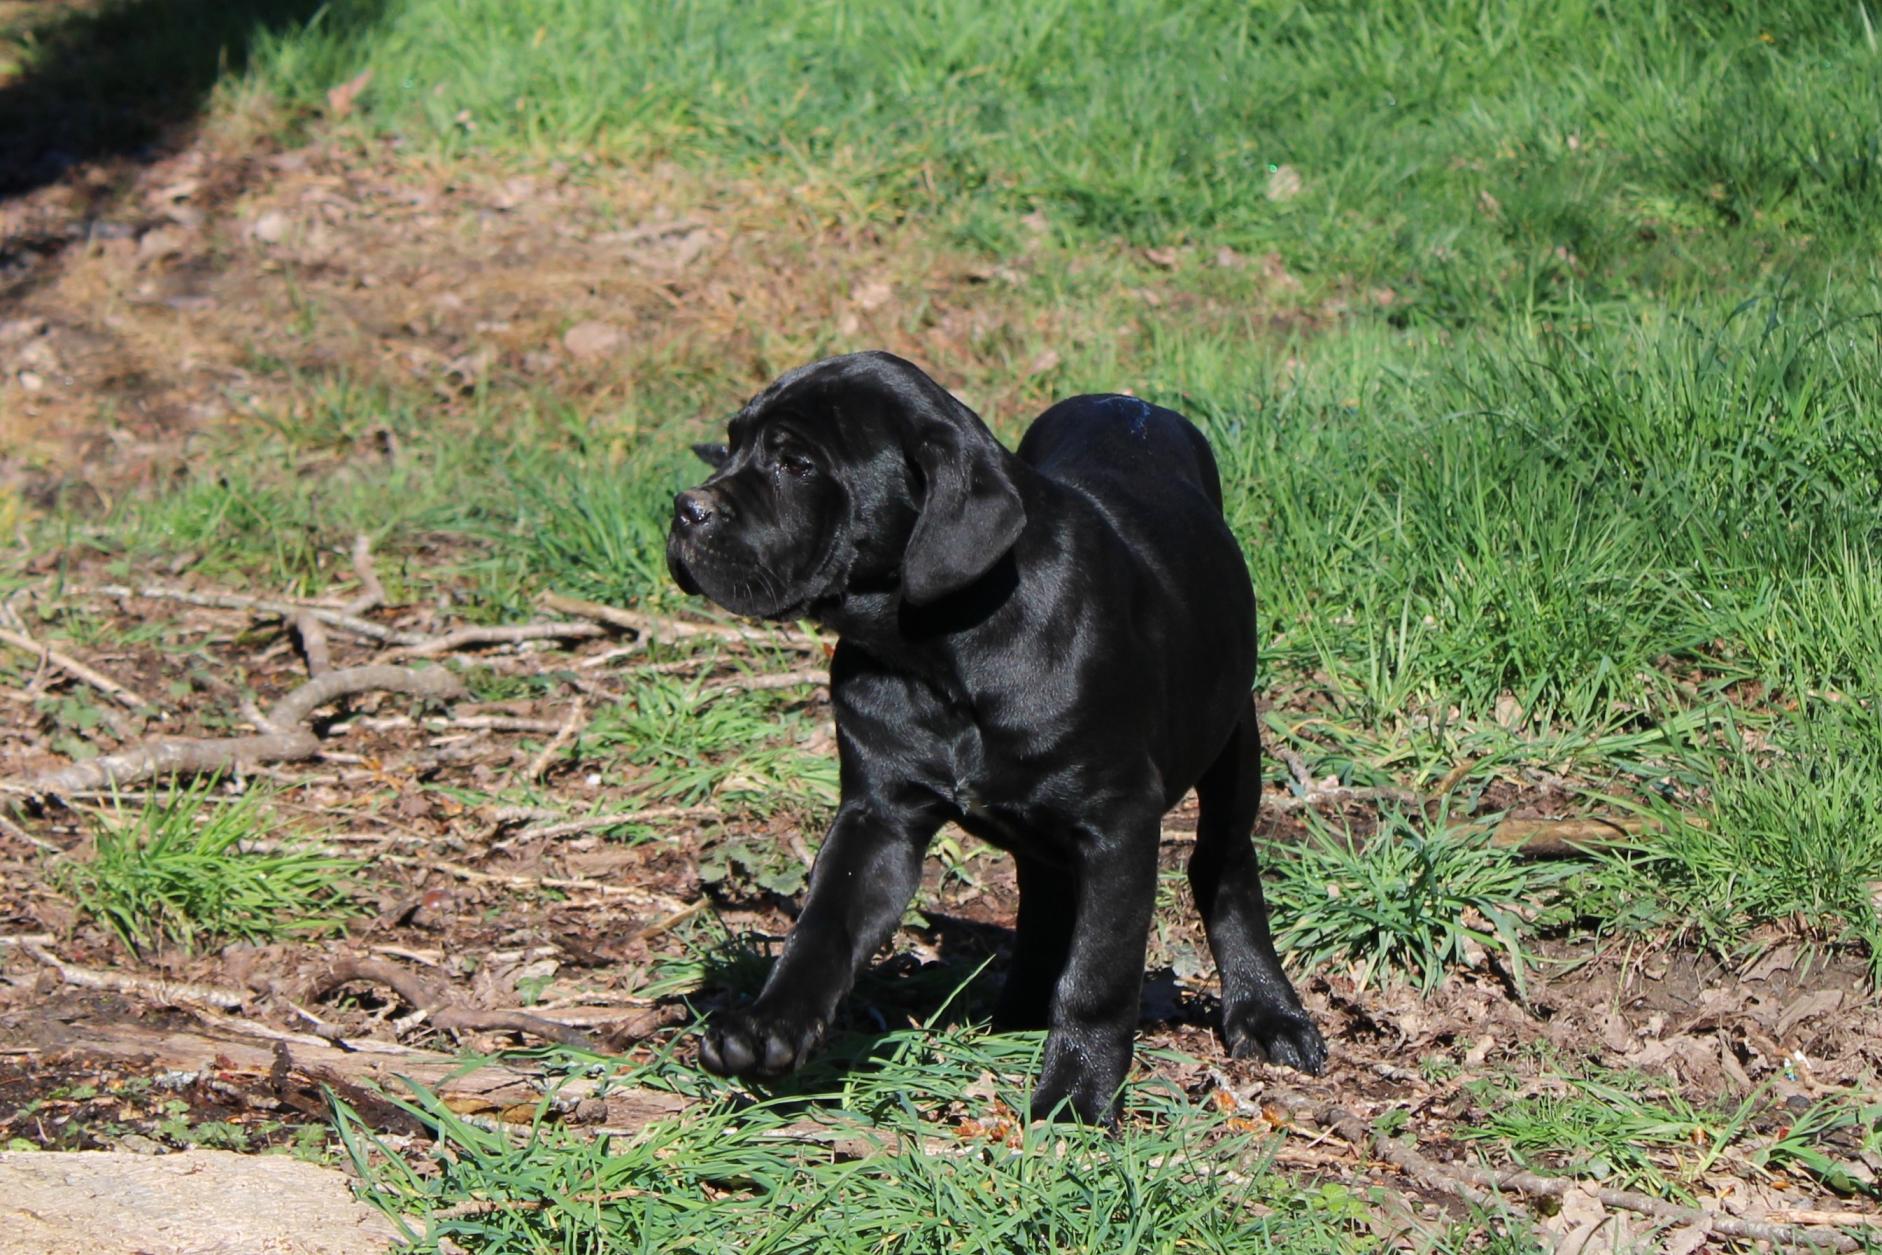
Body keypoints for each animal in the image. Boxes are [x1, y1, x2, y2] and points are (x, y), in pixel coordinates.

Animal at [662, 351, 1324, 1121]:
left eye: (795, 463)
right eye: (731, 444)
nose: (684, 508)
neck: (937, 650)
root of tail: (1126, 401)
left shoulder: (1119, 821)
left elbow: (1099, 973)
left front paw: (1076, 1097)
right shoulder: (878, 816)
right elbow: (823, 924)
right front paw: (768, 1026)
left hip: (1231, 738)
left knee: (1223, 866)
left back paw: (1266, 1011)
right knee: (1047, 892)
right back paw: (1018, 1011)